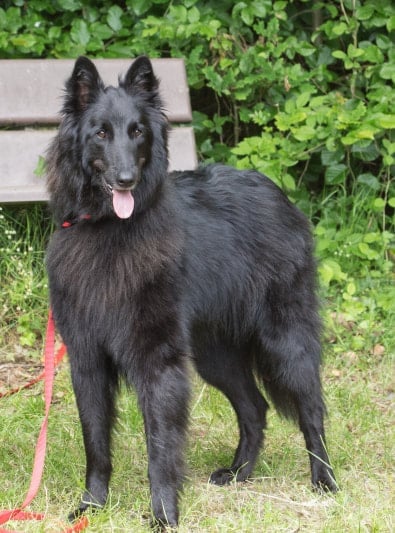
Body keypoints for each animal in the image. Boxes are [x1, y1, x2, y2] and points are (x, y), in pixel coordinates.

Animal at [45, 55, 338, 528]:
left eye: (138, 131)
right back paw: (239, 474)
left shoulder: (158, 364)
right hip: (215, 354)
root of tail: (278, 193)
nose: (126, 180)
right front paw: (92, 507)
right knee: (255, 408)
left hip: (284, 344)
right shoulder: (87, 362)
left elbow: (160, 447)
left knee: (311, 412)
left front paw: (164, 516)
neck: (110, 233)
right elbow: (96, 443)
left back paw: (324, 481)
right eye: (100, 133)